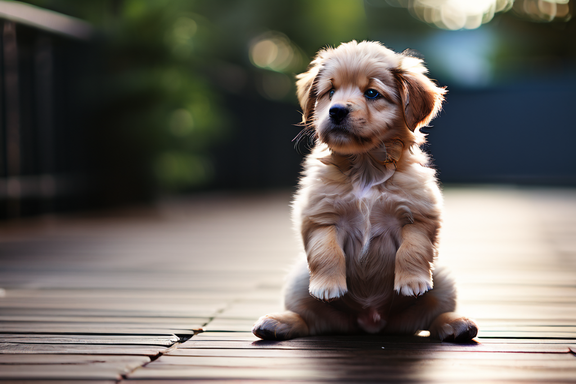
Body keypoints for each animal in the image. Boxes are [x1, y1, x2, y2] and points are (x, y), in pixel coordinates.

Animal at [252, 41, 476, 342]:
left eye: (372, 93)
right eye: (330, 91)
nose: (336, 111)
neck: (366, 169)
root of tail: (370, 320)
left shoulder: (418, 215)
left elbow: (413, 248)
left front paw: (413, 281)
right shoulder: (321, 218)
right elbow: (326, 251)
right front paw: (328, 286)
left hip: (443, 282)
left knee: (434, 317)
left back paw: (457, 324)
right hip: (298, 283)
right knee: (307, 319)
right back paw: (276, 322)